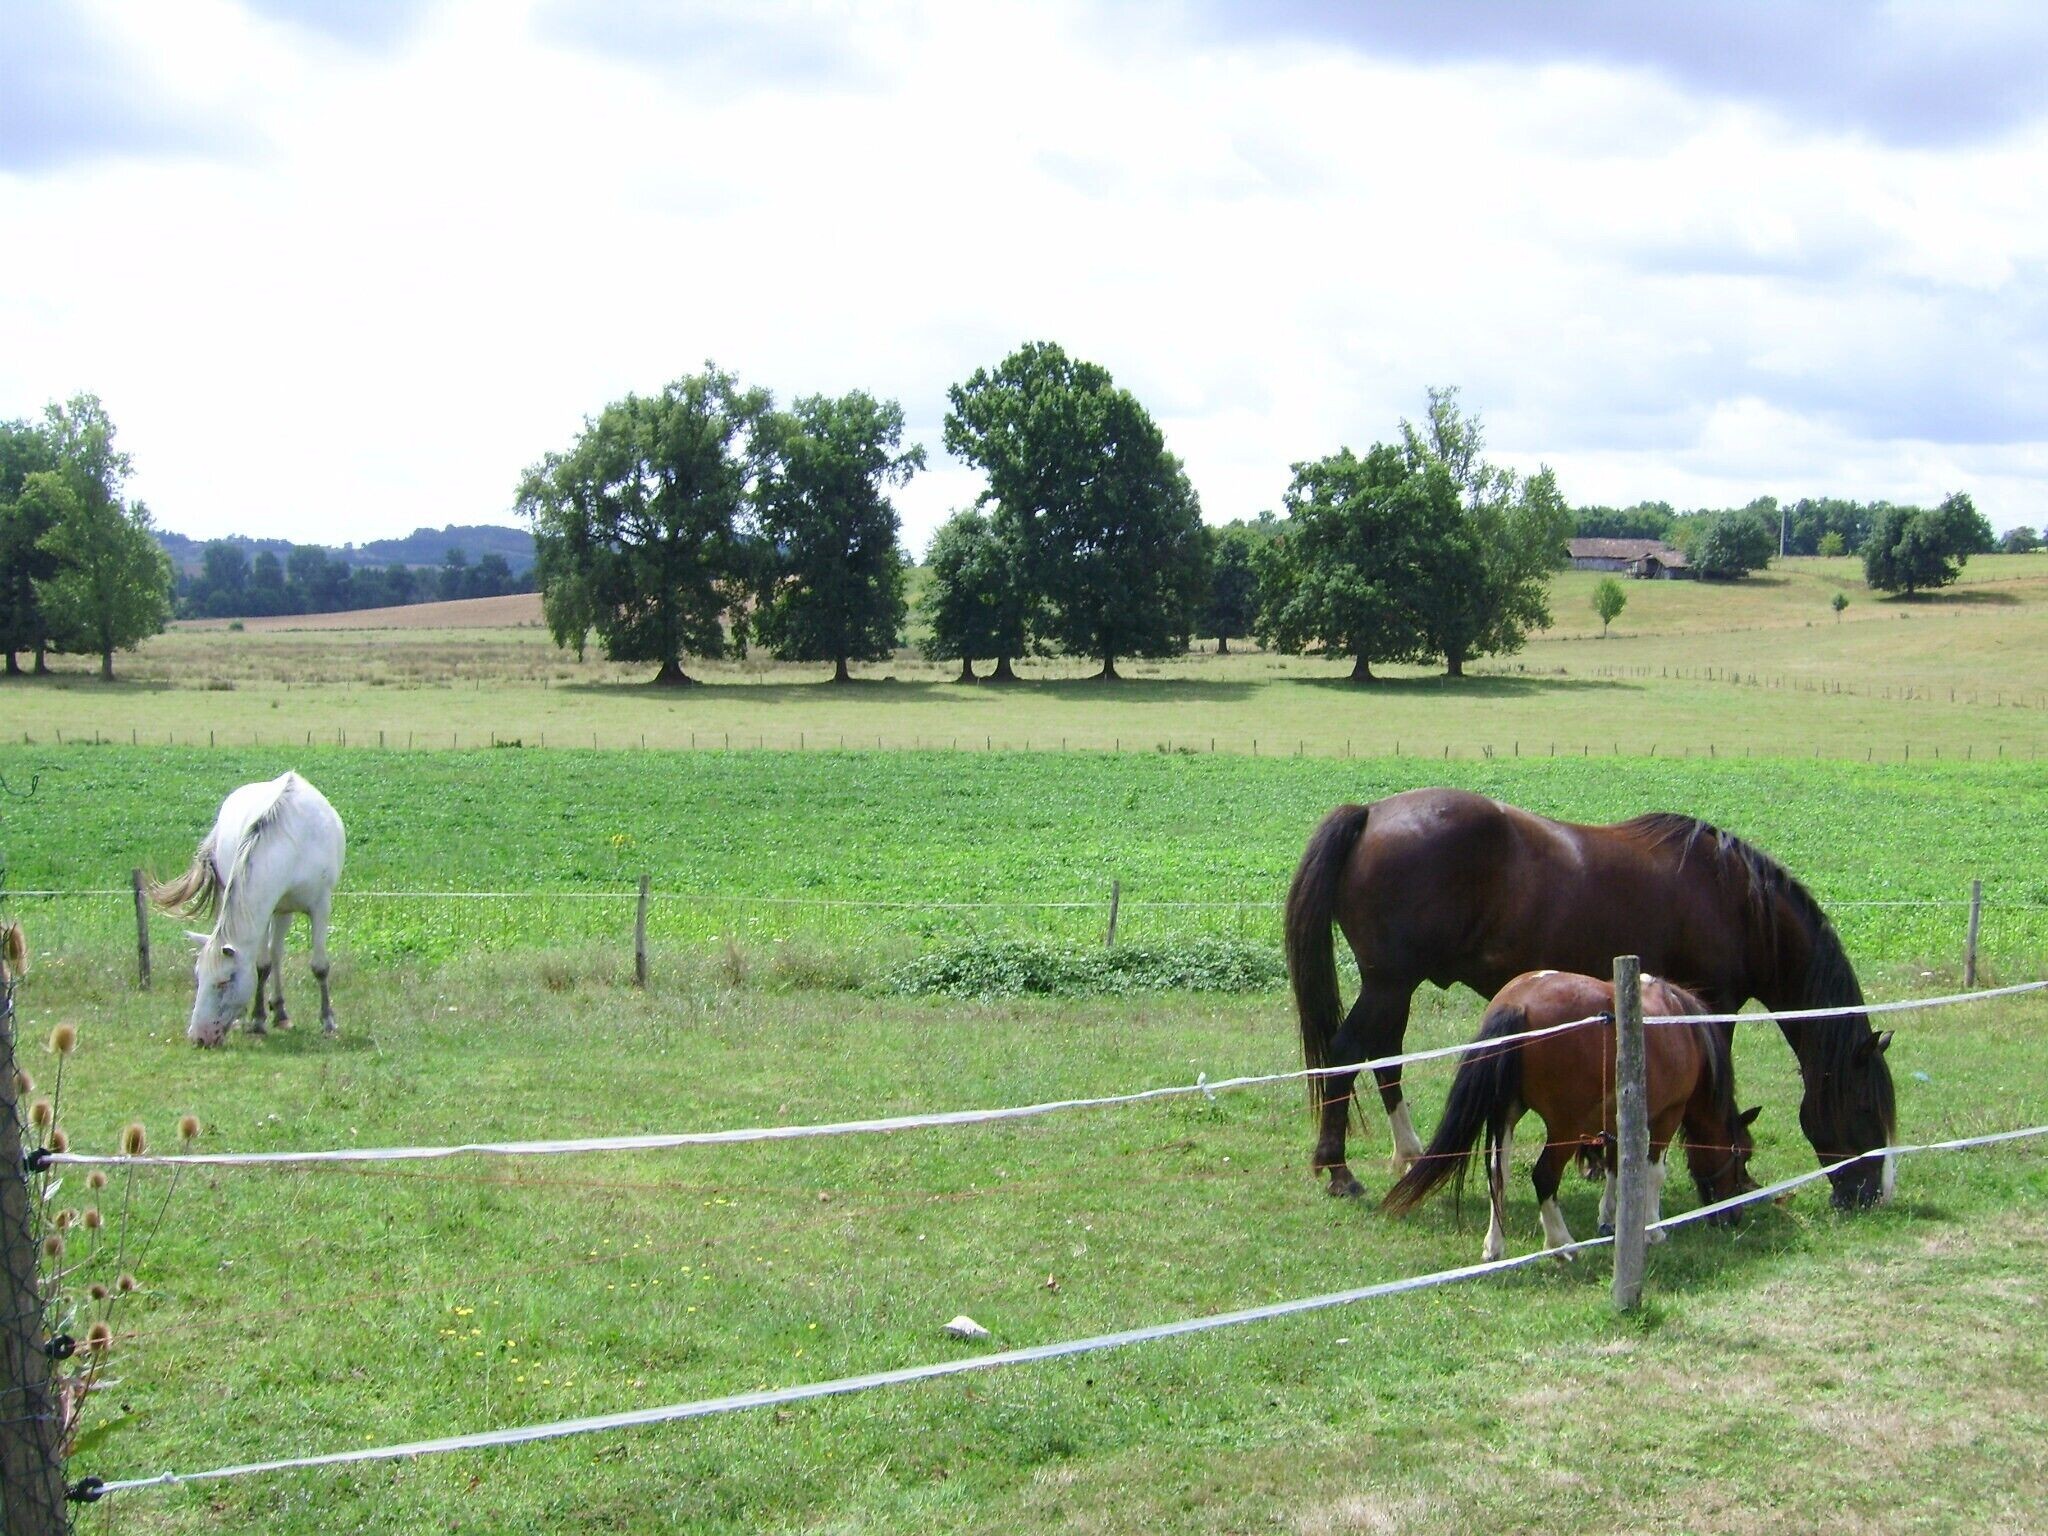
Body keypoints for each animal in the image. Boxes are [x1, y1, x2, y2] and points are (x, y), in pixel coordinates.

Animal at [149, 772, 346, 1047]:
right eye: (198, 977)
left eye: (224, 982)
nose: (199, 1037)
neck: (292, 846)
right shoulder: (261, 912)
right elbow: (262, 966)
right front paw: (257, 1020)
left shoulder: (320, 906)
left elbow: (319, 967)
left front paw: (328, 1021)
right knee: (273, 954)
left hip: (284, 910)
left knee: (277, 952)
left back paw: (281, 1013)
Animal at [1285, 788, 1896, 1208]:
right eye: (1867, 1107)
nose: (1872, 1194)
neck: (1739, 903)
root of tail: (1370, 813)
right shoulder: (1712, 1010)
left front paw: (1595, 1158)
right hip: (1390, 984)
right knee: (1348, 1054)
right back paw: (1339, 1170)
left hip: (1395, 987)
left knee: (1385, 1055)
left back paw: (1408, 1151)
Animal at [1382, 971, 1761, 1261]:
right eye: (1741, 1154)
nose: (1734, 1216)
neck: (1683, 1029)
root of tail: (1517, 1003)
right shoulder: (1667, 1114)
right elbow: (1654, 1172)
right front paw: (1652, 1229)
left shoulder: (1617, 1116)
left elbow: (1616, 1165)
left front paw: (1611, 1218)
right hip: (1564, 1126)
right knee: (1544, 1176)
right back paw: (1561, 1244)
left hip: (1506, 1114)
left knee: (1498, 1173)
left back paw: (1495, 1246)